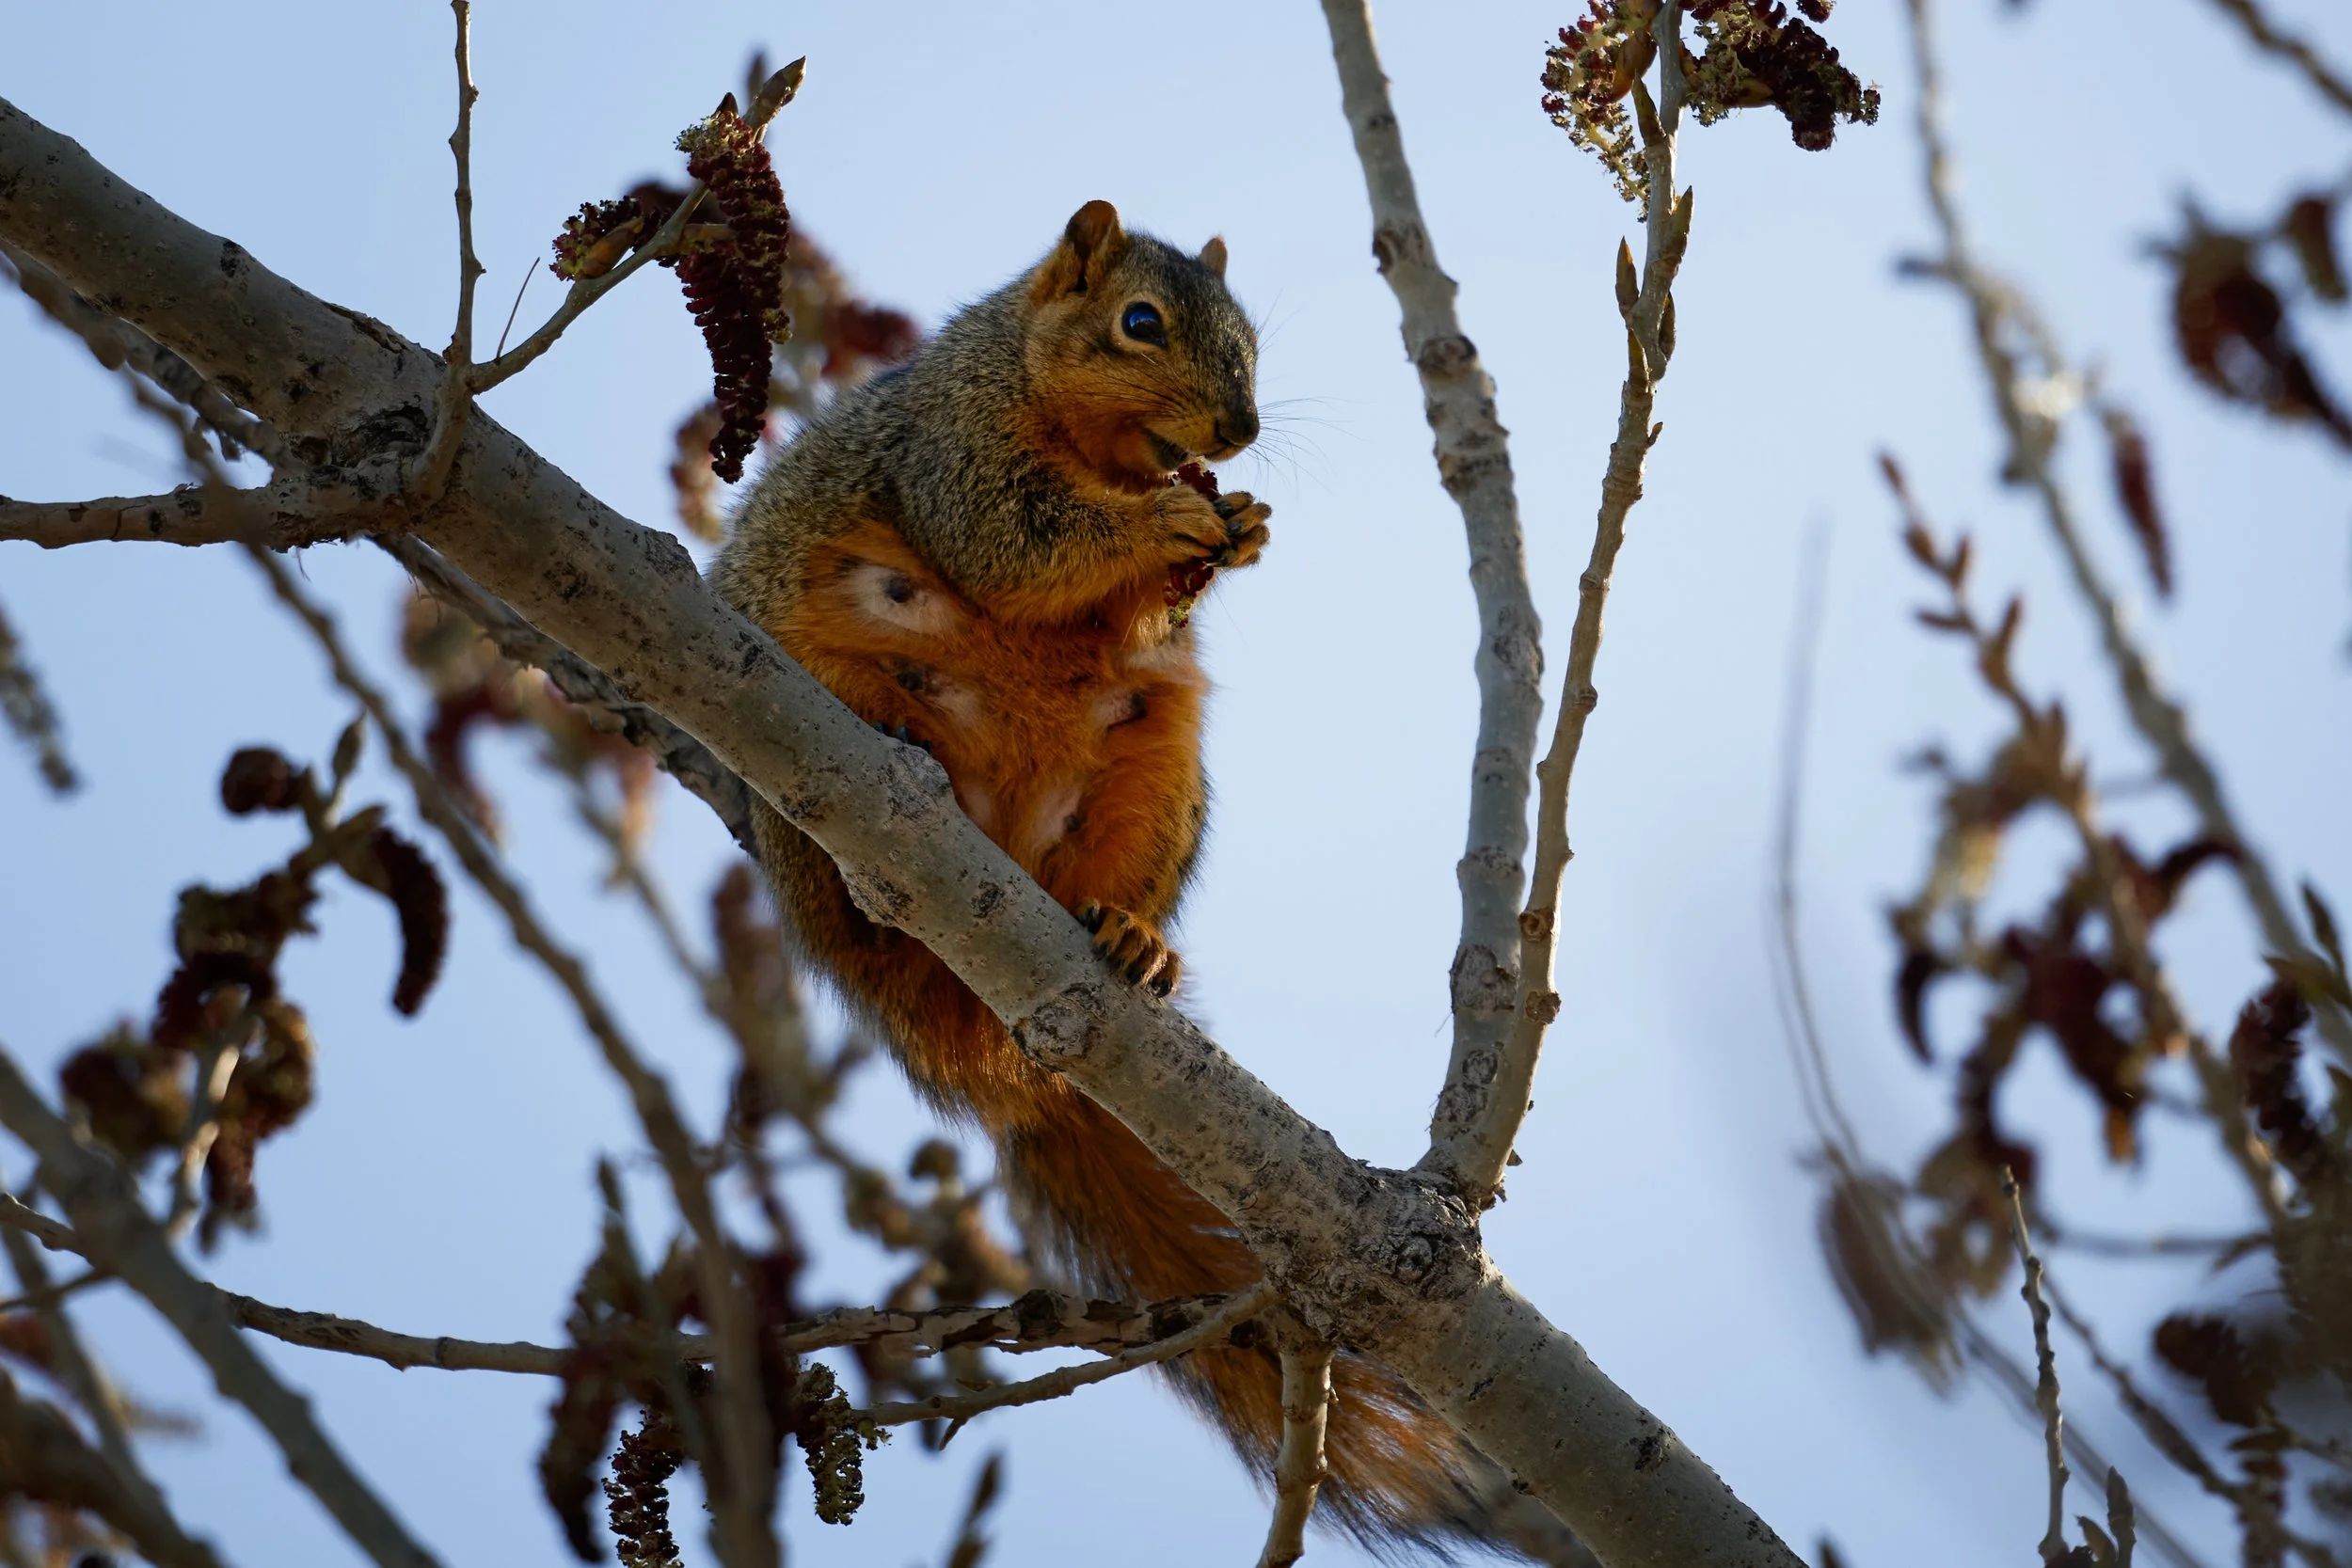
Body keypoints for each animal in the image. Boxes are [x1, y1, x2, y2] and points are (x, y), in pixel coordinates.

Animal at [713, 201, 1516, 1555]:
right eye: (1139, 321)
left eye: (1250, 338)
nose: (1236, 433)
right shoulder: (953, 450)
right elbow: (1012, 543)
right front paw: (1164, 529)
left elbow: (1129, 615)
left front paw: (1240, 530)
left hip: (1156, 771)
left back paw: (1134, 938)